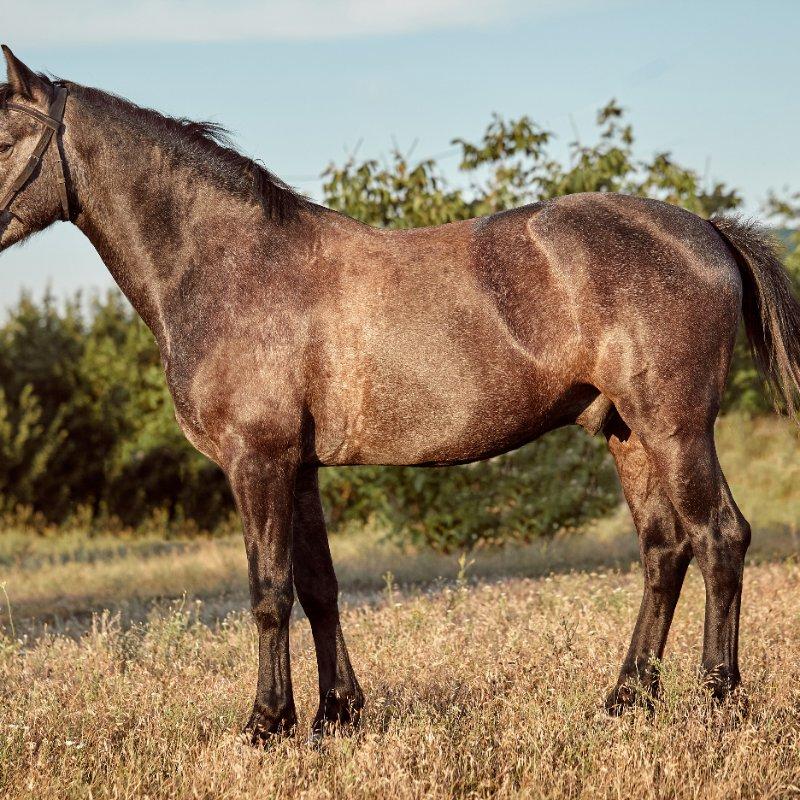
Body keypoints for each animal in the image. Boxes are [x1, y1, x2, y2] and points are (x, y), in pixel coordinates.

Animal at [1, 46, 798, 745]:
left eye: (5, 135)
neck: (233, 265)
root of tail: (707, 231)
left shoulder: (257, 461)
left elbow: (269, 592)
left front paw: (266, 725)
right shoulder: (298, 467)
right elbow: (318, 588)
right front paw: (336, 716)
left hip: (676, 429)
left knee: (719, 537)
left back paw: (717, 702)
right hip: (627, 434)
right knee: (664, 549)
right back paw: (625, 700)